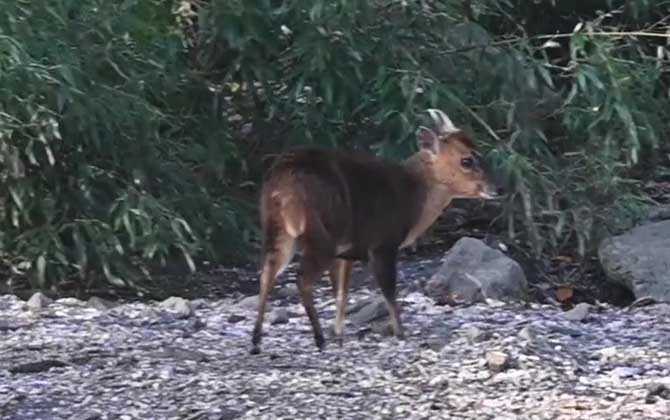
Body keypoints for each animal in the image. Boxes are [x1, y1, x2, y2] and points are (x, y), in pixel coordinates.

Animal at [252, 109, 498, 354]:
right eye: (467, 160)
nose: (497, 188)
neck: (413, 197)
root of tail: (283, 182)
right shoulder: (383, 243)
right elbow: (388, 288)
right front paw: (400, 332)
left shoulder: (347, 252)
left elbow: (342, 292)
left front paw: (339, 334)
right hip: (320, 232)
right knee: (301, 278)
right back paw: (318, 339)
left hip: (277, 228)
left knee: (267, 273)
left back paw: (257, 342)